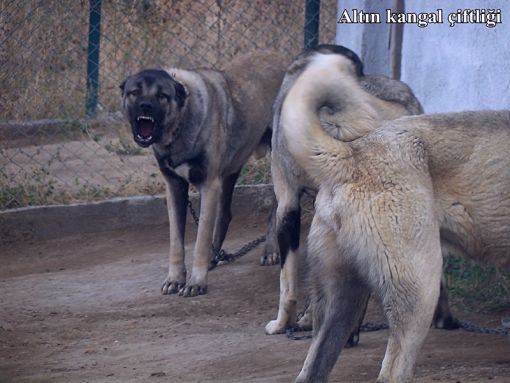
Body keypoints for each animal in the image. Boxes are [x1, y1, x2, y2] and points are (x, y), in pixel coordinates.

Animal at [120, 51, 286, 296]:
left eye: (162, 96)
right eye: (134, 92)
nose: (145, 106)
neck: (181, 121)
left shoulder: (209, 186)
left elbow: (199, 240)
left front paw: (196, 282)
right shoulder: (175, 189)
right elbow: (176, 242)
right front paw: (175, 278)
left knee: (275, 209)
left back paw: (271, 250)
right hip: (230, 170)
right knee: (225, 215)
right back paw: (215, 256)